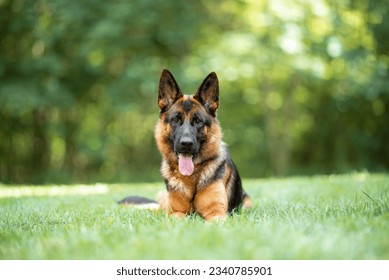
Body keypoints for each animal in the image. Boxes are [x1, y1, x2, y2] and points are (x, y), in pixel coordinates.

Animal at [119, 69, 250, 221]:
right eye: (175, 119)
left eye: (198, 121)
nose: (186, 144)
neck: (192, 179)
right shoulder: (175, 212)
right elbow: (180, 217)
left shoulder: (217, 212)